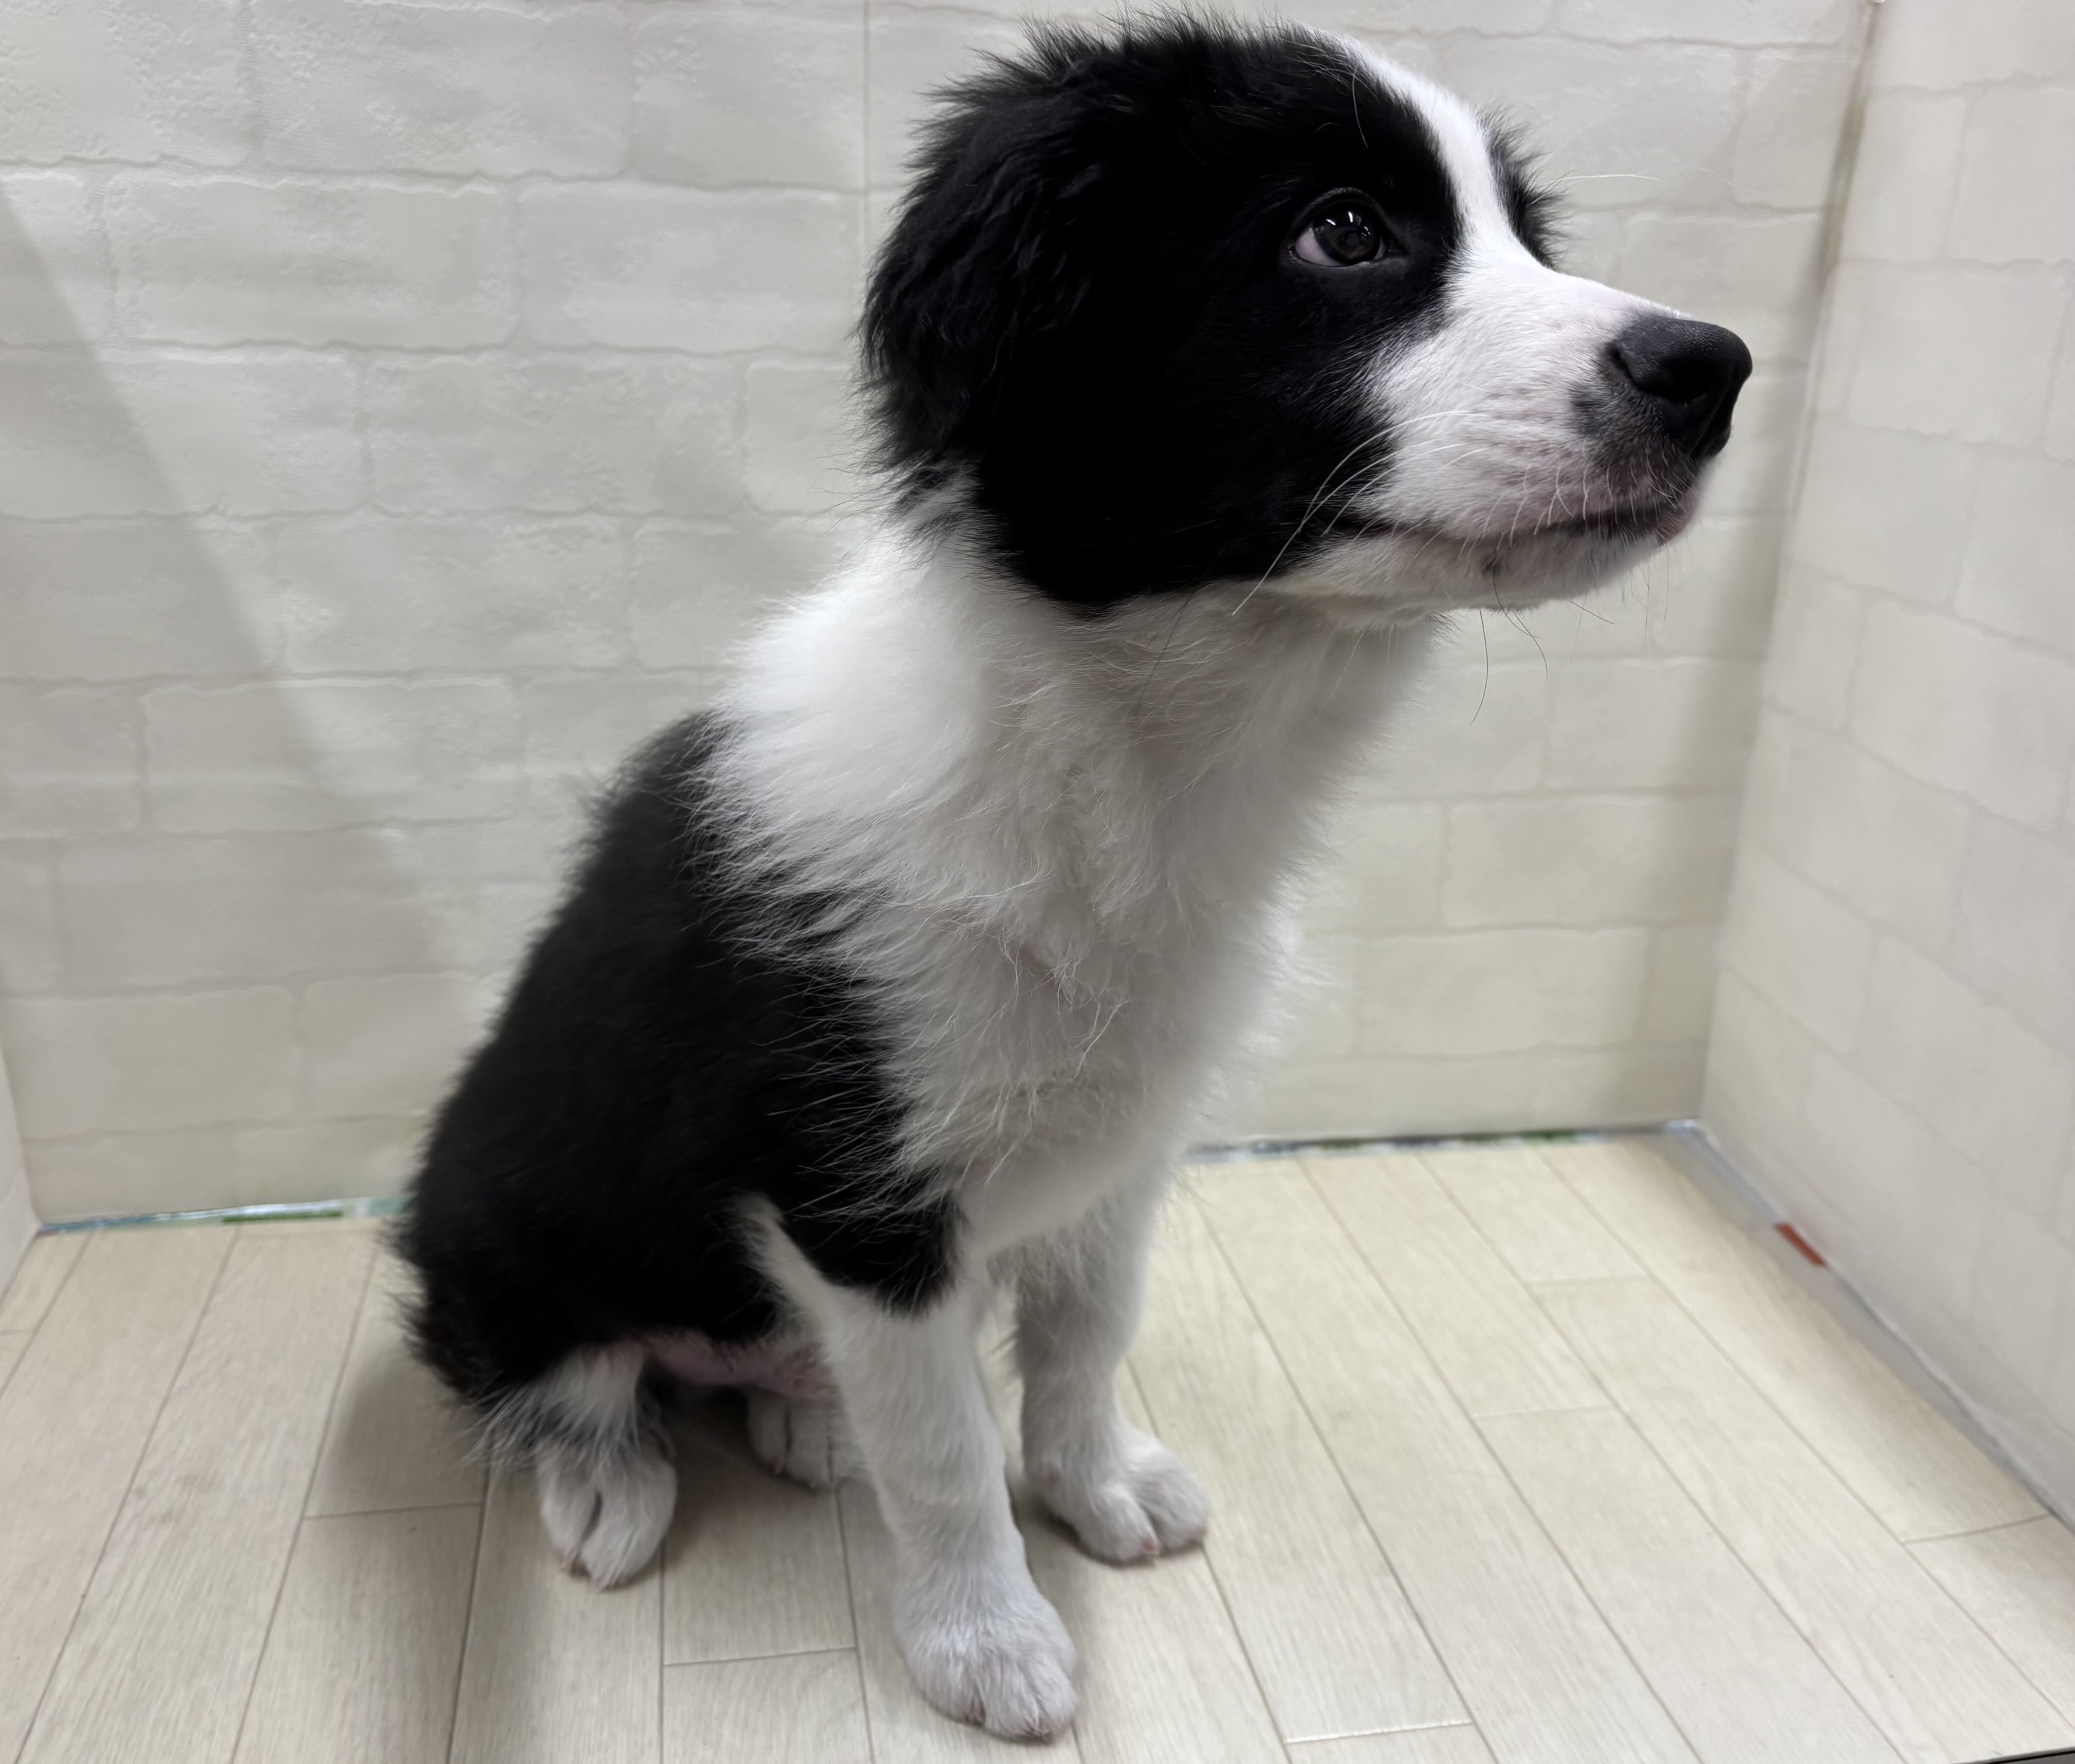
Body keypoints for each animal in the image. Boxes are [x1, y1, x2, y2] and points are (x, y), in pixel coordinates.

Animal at [399, 16, 1748, 1739]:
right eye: (1344, 232)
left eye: (1528, 233)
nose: (1710, 369)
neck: (1123, 755)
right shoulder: (856, 1196)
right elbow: (939, 1449)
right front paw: (985, 1640)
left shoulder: (1123, 1149)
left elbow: (1082, 1338)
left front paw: (1090, 1489)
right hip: (499, 1229)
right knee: (566, 1384)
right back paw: (609, 1484)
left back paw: (799, 1415)